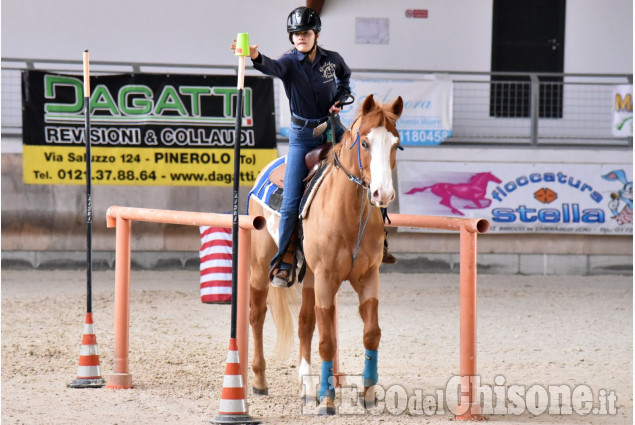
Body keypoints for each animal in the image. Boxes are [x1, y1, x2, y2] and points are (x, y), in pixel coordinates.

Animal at [247, 93, 402, 414]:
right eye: (365, 143)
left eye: (395, 143)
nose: (383, 194)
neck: (348, 212)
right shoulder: (327, 278)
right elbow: (328, 340)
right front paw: (327, 400)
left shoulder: (368, 276)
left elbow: (371, 332)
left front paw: (368, 394)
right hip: (259, 266)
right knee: (257, 315)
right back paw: (259, 381)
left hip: (309, 277)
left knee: (305, 323)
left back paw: (306, 387)